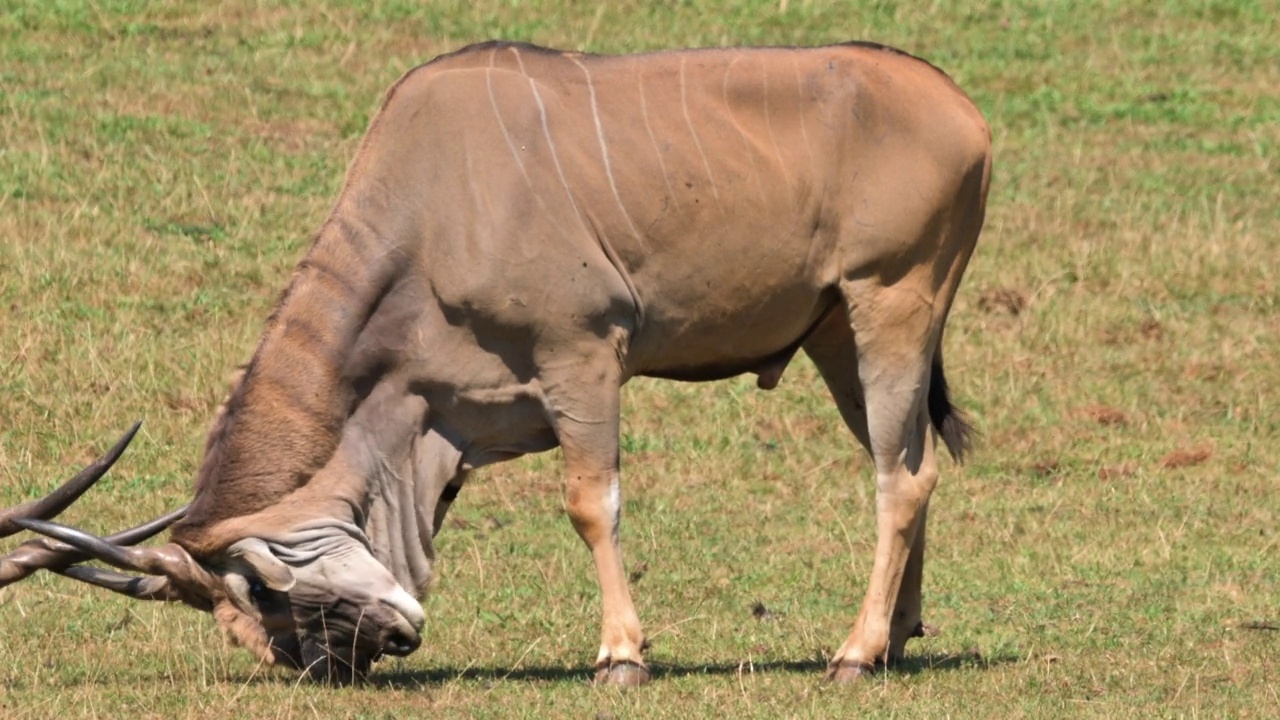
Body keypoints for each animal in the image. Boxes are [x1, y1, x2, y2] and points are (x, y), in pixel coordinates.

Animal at [0, 40, 988, 681]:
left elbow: (592, 503)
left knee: (901, 476)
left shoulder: (582, 354)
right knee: (908, 460)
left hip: (891, 302)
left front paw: (620, 656)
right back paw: (895, 639)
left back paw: (854, 654)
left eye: (262, 589)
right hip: (835, 334)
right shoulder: (460, 411)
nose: (353, 655)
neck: (433, 203)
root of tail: (962, 108)